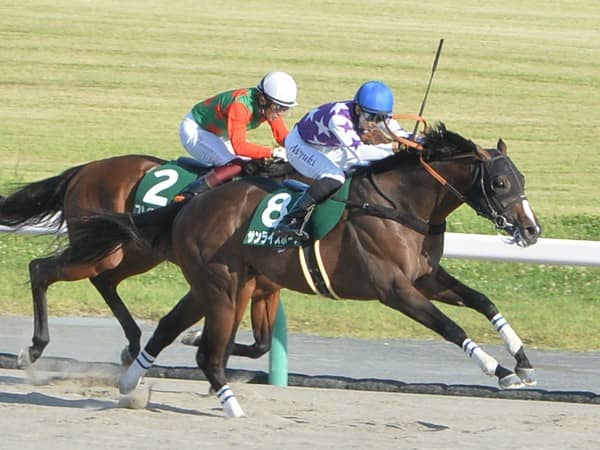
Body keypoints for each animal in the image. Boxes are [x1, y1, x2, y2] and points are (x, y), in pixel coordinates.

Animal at [0, 154, 293, 367]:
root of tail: (85, 170)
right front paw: (195, 338)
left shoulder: (266, 290)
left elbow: (261, 345)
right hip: (99, 249)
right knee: (41, 269)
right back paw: (35, 347)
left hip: (136, 251)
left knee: (104, 281)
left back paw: (131, 346)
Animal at [60, 123, 542, 417]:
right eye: (500, 182)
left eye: (521, 178)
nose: (531, 230)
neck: (399, 206)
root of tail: (189, 202)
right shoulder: (393, 288)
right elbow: (449, 326)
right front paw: (498, 370)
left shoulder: (425, 277)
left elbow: (483, 301)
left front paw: (522, 362)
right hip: (221, 283)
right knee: (199, 346)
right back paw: (224, 400)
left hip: (211, 283)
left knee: (167, 327)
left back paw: (132, 379)